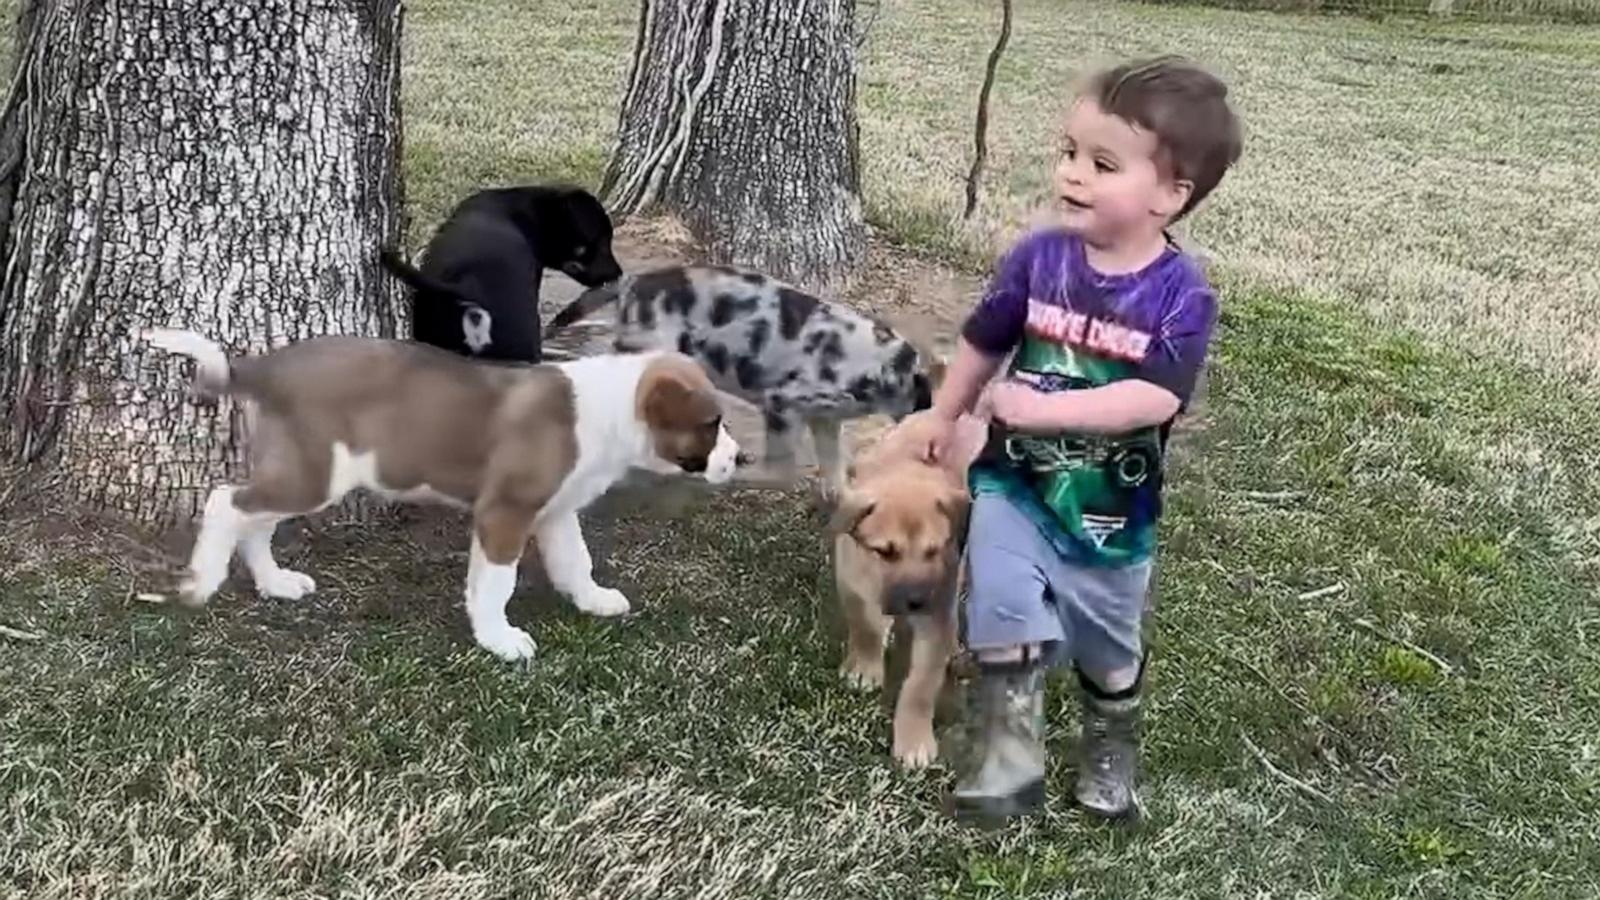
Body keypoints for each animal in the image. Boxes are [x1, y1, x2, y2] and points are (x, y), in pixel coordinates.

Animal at [140, 329, 739, 659]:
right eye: (712, 423)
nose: (741, 459)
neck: (610, 410)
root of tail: (264, 367)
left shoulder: (554, 511)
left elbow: (576, 561)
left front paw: (592, 600)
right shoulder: (505, 512)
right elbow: (497, 583)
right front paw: (499, 640)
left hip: (306, 472)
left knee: (255, 519)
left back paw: (275, 583)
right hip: (314, 472)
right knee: (226, 502)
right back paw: (201, 583)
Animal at [544, 262, 934, 493]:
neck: (886, 369)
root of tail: (631, 282)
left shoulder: (825, 418)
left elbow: (832, 462)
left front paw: (840, 500)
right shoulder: (782, 401)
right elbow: (782, 463)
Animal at [825, 406, 985, 762]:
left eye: (933, 551)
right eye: (885, 551)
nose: (915, 601)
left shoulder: (937, 612)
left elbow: (921, 685)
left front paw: (914, 740)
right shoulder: (851, 578)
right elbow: (864, 626)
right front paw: (864, 667)